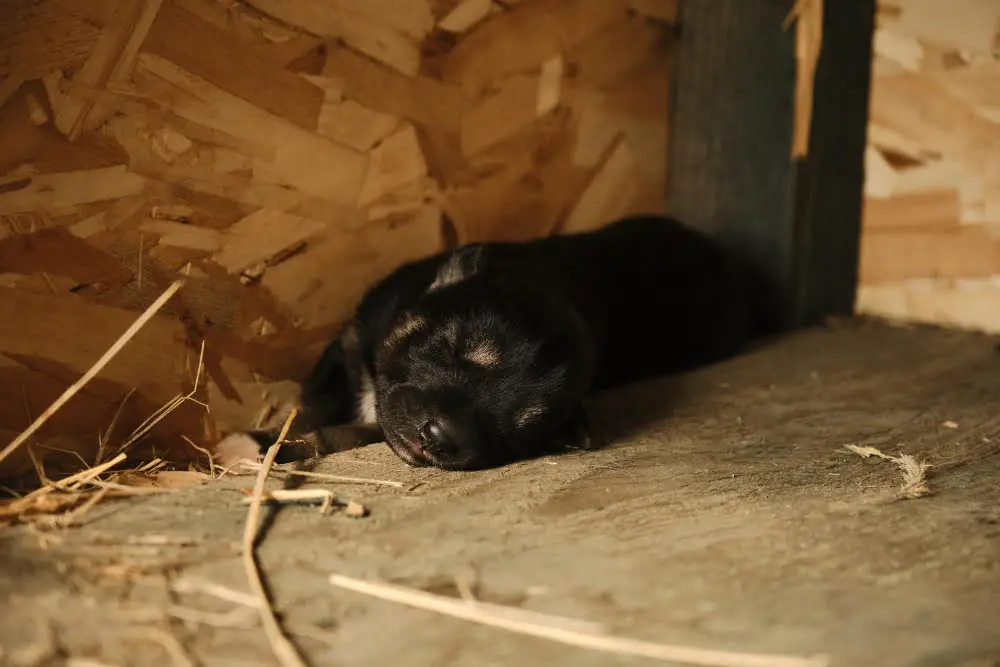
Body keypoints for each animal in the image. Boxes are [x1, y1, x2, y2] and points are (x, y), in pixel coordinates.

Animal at [215, 214, 776, 470]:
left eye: (523, 424)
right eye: (455, 344)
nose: (440, 436)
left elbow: (343, 432)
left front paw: (261, 448)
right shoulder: (351, 342)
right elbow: (310, 404)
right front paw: (256, 439)